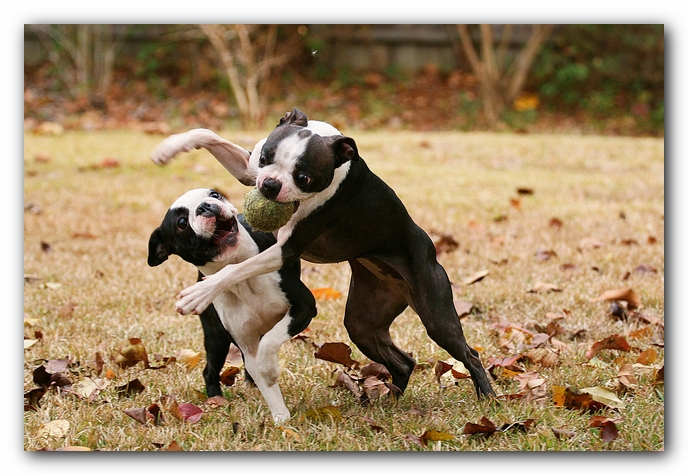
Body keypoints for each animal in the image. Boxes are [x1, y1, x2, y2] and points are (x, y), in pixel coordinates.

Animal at [148, 188, 318, 422]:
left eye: (214, 195)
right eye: (182, 223)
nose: (205, 206)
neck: (241, 276)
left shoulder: (304, 307)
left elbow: (271, 341)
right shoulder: (246, 342)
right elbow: (268, 386)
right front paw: (281, 419)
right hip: (216, 339)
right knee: (210, 370)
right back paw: (216, 400)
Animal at [150, 109, 494, 400]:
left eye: (304, 178)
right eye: (264, 157)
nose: (270, 184)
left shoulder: (287, 249)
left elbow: (237, 268)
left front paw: (199, 293)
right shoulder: (247, 170)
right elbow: (209, 134)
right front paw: (170, 147)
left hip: (435, 312)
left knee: (468, 352)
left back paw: (487, 396)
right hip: (362, 324)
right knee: (403, 362)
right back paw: (389, 399)